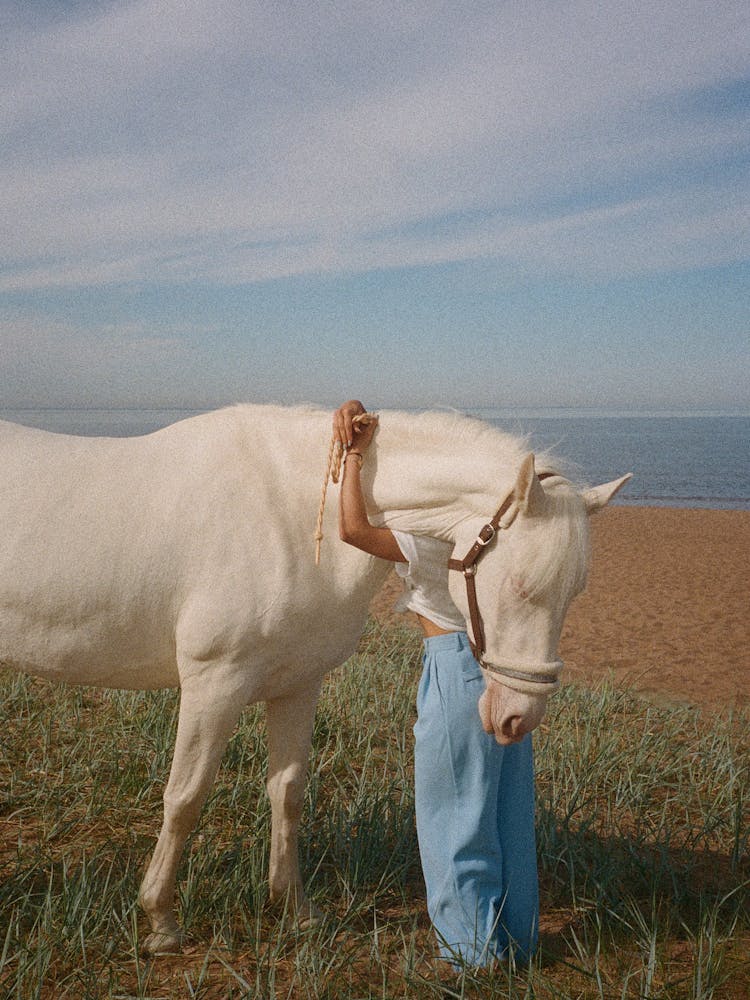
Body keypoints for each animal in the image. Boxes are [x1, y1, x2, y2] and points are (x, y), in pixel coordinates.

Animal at [0, 406, 636, 952]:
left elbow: (287, 792)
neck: (294, 509)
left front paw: (295, 909)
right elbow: (184, 797)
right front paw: (161, 920)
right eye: (522, 587)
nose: (518, 716)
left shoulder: (297, 685)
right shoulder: (214, 683)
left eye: (573, 593)